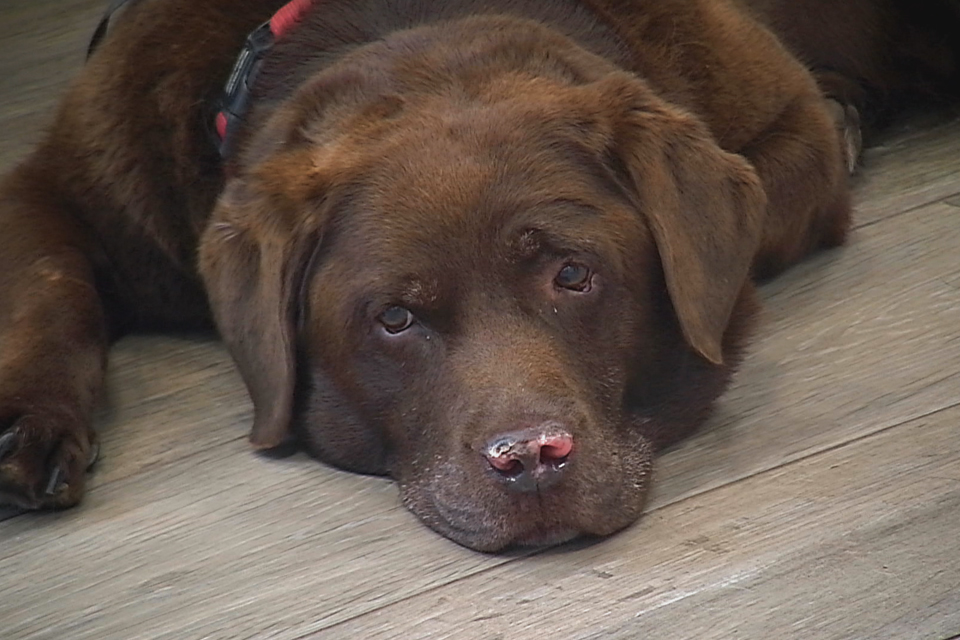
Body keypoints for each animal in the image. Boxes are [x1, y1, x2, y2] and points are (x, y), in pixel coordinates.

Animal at [0, 0, 956, 552]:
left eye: (573, 275)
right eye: (394, 319)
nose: (532, 458)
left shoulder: (791, 131)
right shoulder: (65, 183)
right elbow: (47, 284)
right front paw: (28, 428)